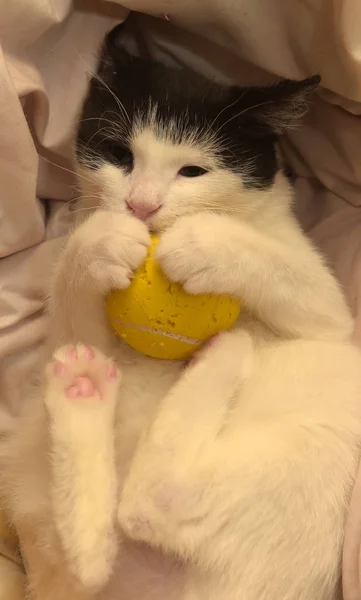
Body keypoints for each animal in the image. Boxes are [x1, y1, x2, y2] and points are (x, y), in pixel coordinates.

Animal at [1, 22, 358, 600]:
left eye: (193, 170)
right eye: (120, 155)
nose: (141, 206)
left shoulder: (331, 312)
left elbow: (297, 284)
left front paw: (205, 242)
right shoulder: (86, 333)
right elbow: (79, 316)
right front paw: (97, 244)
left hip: (322, 424)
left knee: (156, 502)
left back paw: (224, 352)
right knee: (99, 553)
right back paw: (83, 390)